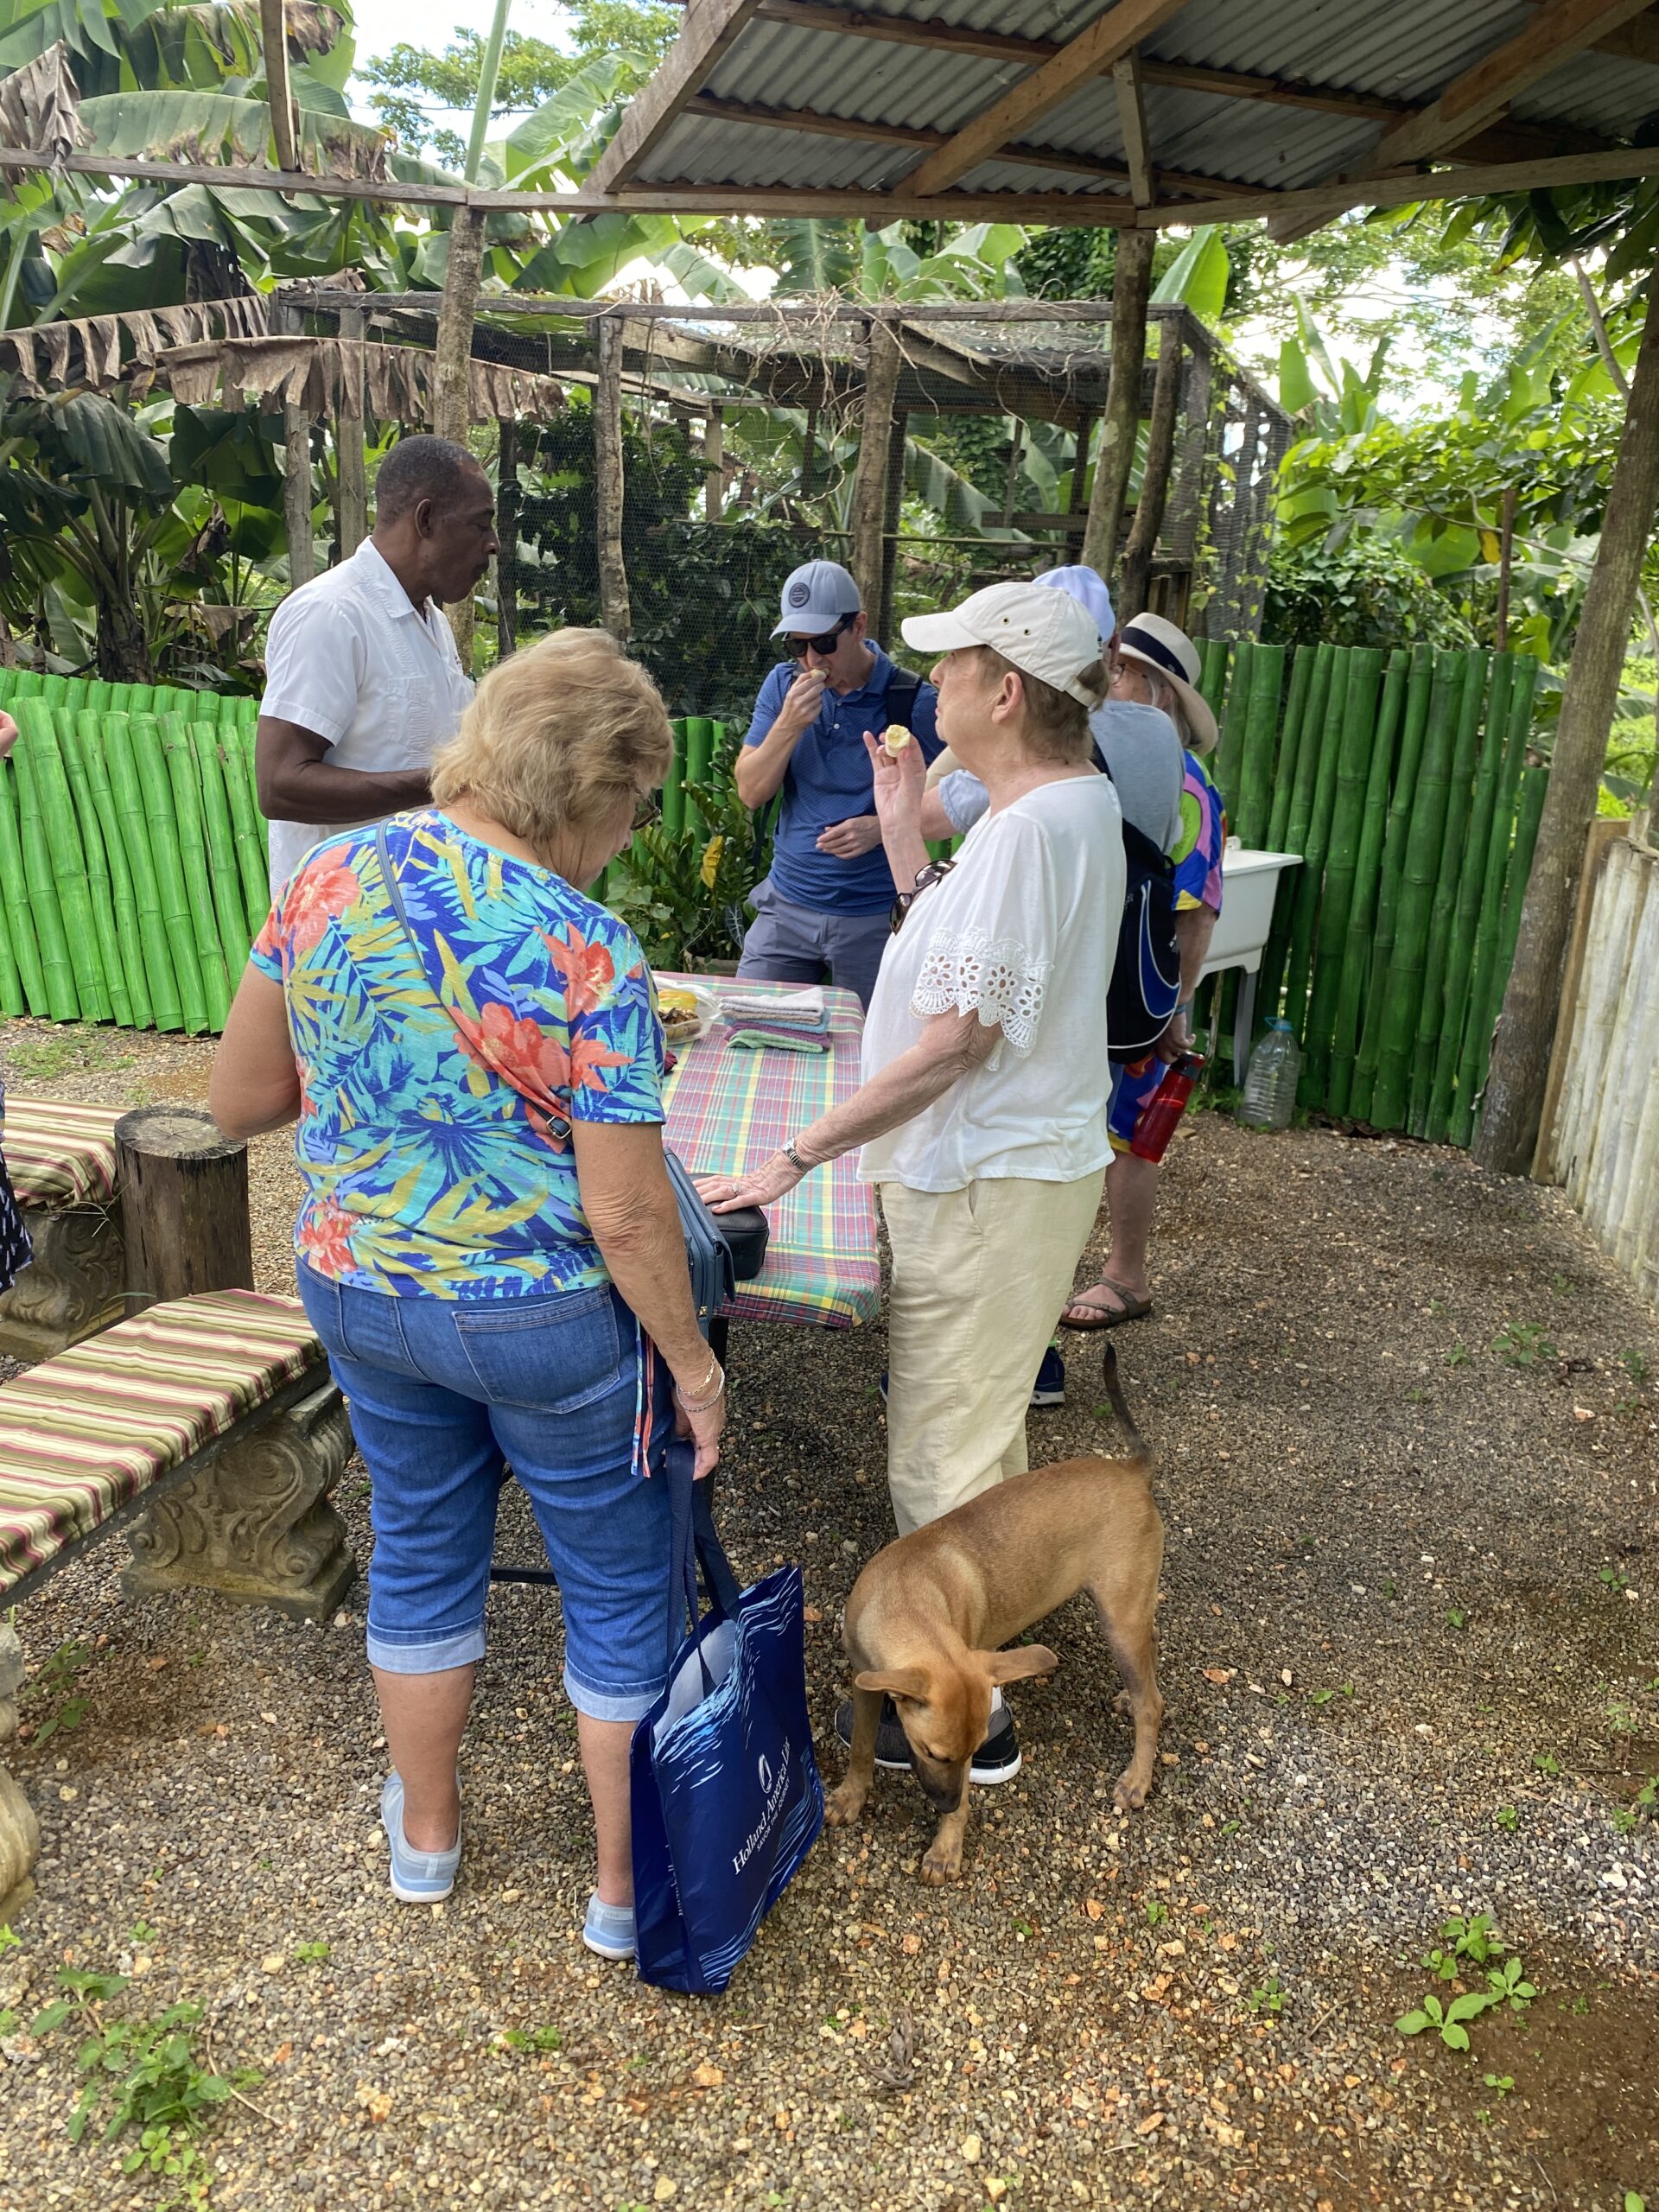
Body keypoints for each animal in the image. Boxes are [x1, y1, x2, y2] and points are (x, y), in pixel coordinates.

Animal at [826, 1344, 1164, 1883]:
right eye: (932, 1753)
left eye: (973, 1754)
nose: (945, 1804)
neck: (908, 1595)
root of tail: (1133, 1470)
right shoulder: (866, 1681)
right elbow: (859, 1746)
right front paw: (850, 1796)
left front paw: (946, 1849)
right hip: (1130, 1610)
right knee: (1150, 1663)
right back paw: (1127, 1699)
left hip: (1119, 1616)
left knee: (1153, 1702)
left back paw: (1136, 1778)